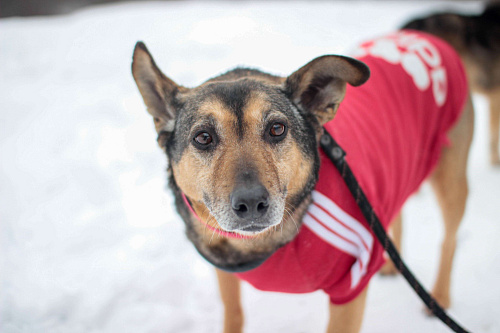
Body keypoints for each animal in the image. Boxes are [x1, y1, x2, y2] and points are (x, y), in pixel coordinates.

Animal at [132, 29, 472, 330]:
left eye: (277, 129)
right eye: (203, 137)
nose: (251, 203)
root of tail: (423, 34)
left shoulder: (351, 287)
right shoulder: (225, 272)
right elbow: (234, 313)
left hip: (451, 179)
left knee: (450, 240)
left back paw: (439, 297)